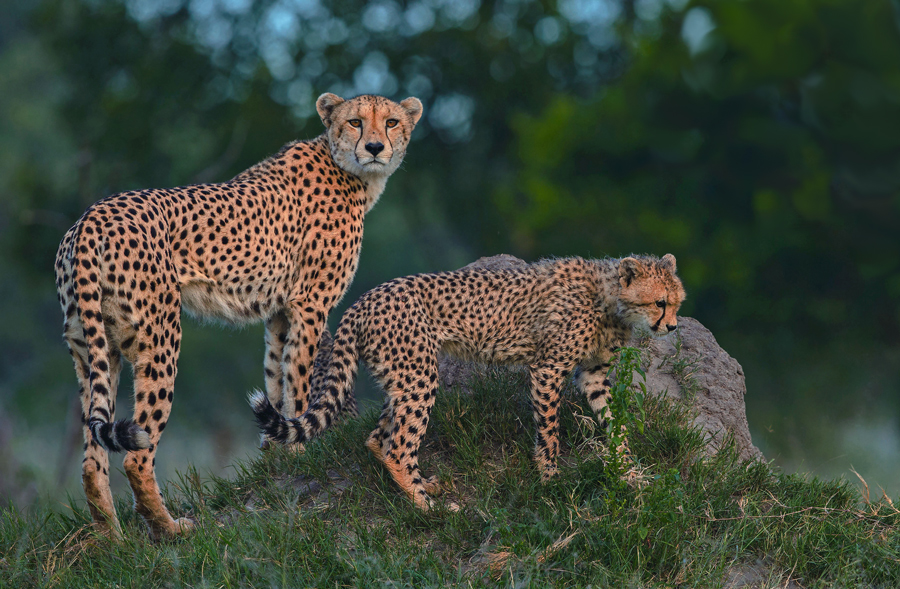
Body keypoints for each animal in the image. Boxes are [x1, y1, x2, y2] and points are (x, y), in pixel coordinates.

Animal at [54, 92, 423, 539]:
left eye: (391, 122)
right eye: (355, 122)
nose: (373, 147)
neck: (347, 169)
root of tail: (93, 214)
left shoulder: (279, 314)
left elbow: (277, 380)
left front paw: (276, 453)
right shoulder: (309, 305)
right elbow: (299, 384)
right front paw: (300, 454)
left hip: (93, 349)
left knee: (92, 460)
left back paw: (115, 541)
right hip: (159, 340)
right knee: (136, 453)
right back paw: (170, 529)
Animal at [251, 253, 686, 510]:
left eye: (676, 302)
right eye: (659, 302)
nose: (673, 326)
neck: (610, 299)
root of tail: (363, 300)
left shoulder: (593, 374)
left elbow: (617, 422)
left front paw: (630, 472)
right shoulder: (548, 368)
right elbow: (549, 431)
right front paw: (551, 479)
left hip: (402, 375)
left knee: (378, 439)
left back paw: (424, 487)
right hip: (419, 374)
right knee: (398, 447)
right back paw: (428, 508)